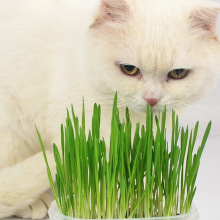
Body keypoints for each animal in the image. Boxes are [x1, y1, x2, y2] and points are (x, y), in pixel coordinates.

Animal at [0, 0, 220, 218]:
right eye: (129, 69)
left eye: (178, 73)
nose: (152, 99)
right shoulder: (82, 129)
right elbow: (95, 179)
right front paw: (101, 205)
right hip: (13, 123)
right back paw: (34, 203)